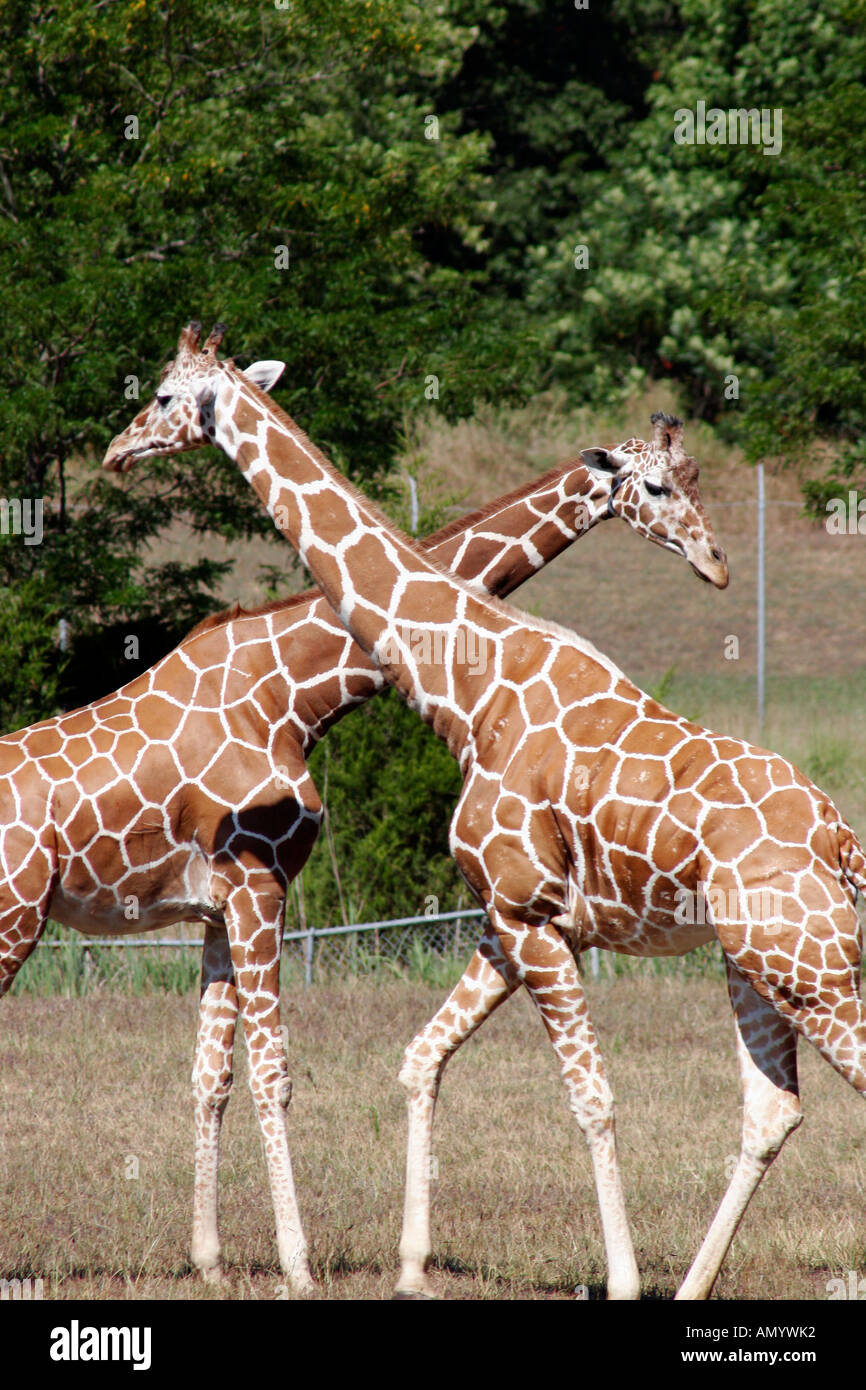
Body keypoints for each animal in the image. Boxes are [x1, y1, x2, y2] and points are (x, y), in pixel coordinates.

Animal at [104, 319, 866, 1295]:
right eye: (664, 483)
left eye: (163, 396)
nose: (119, 451)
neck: (468, 691)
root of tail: (841, 837)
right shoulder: (508, 920)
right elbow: (420, 1059)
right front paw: (409, 1267)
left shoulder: (531, 916)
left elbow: (592, 1098)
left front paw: (620, 1278)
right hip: (754, 961)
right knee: (771, 1111)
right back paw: (695, 1283)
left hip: (808, 965)